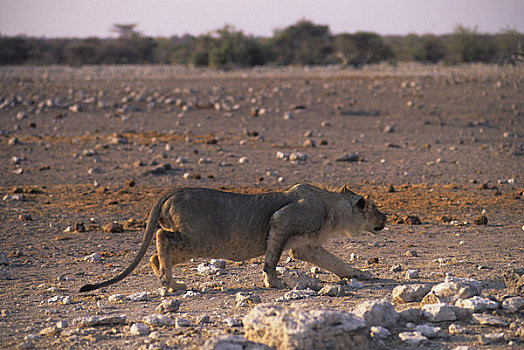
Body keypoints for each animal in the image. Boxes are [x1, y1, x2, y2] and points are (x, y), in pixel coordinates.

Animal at [80, 183, 386, 292]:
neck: (331, 208)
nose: (386, 218)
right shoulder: (281, 221)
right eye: (375, 209)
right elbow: (271, 259)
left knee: (157, 253)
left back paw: (170, 281)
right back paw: (169, 282)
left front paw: (361, 274)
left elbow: (336, 262)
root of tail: (173, 191)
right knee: (160, 237)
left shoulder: (306, 247)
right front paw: (274, 282)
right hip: (201, 239)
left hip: (195, 242)